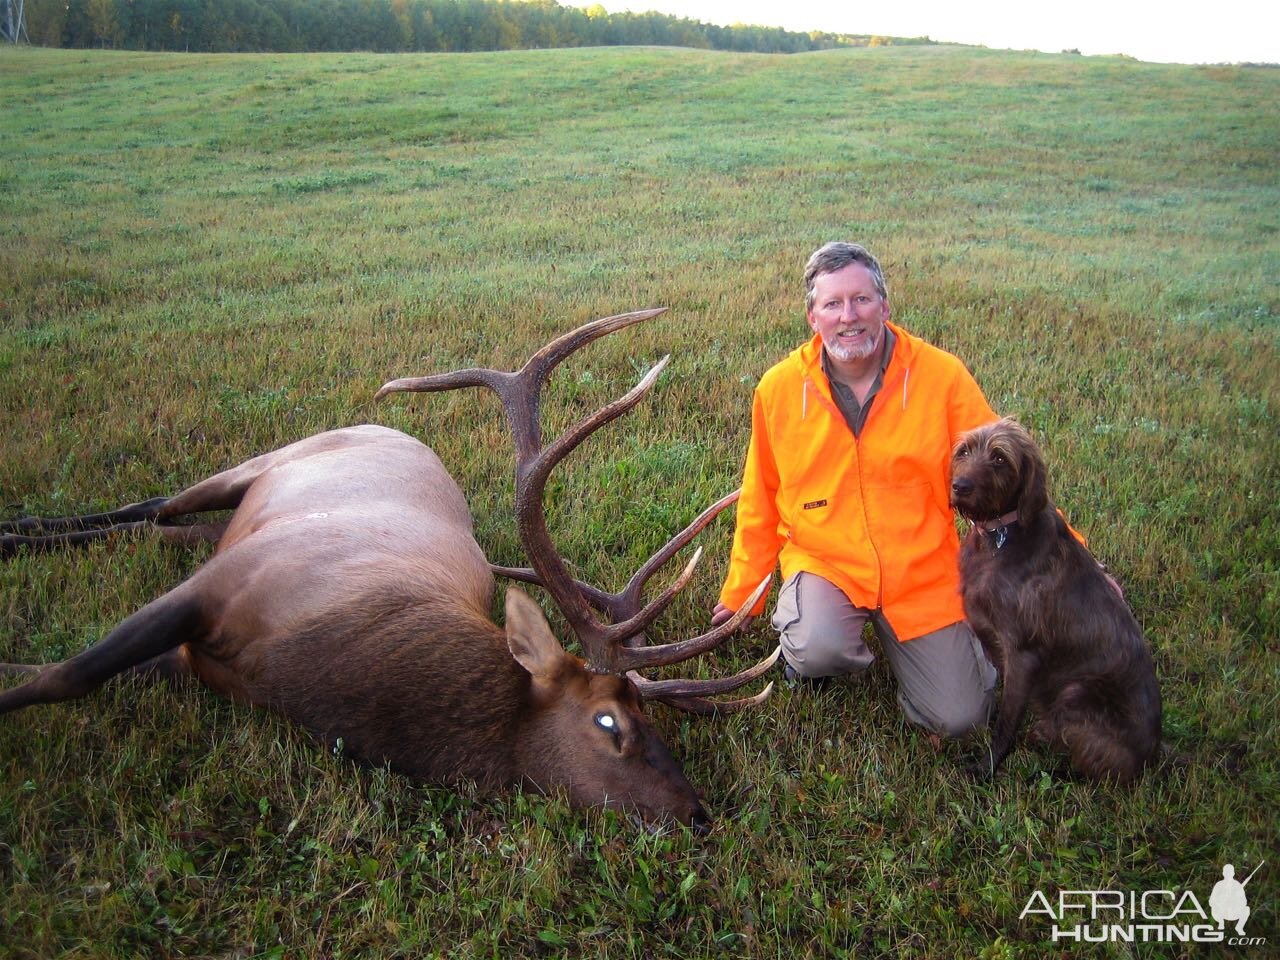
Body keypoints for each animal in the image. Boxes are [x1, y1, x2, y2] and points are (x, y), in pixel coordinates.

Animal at [0, 309, 776, 832]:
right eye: (609, 720)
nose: (699, 812)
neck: (303, 671)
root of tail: (392, 426)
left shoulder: (199, 657)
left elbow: (56, 670)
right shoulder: (211, 591)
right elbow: (65, 675)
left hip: (230, 520)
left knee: (162, 524)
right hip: (260, 464)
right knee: (155, 503)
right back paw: (20, 529)